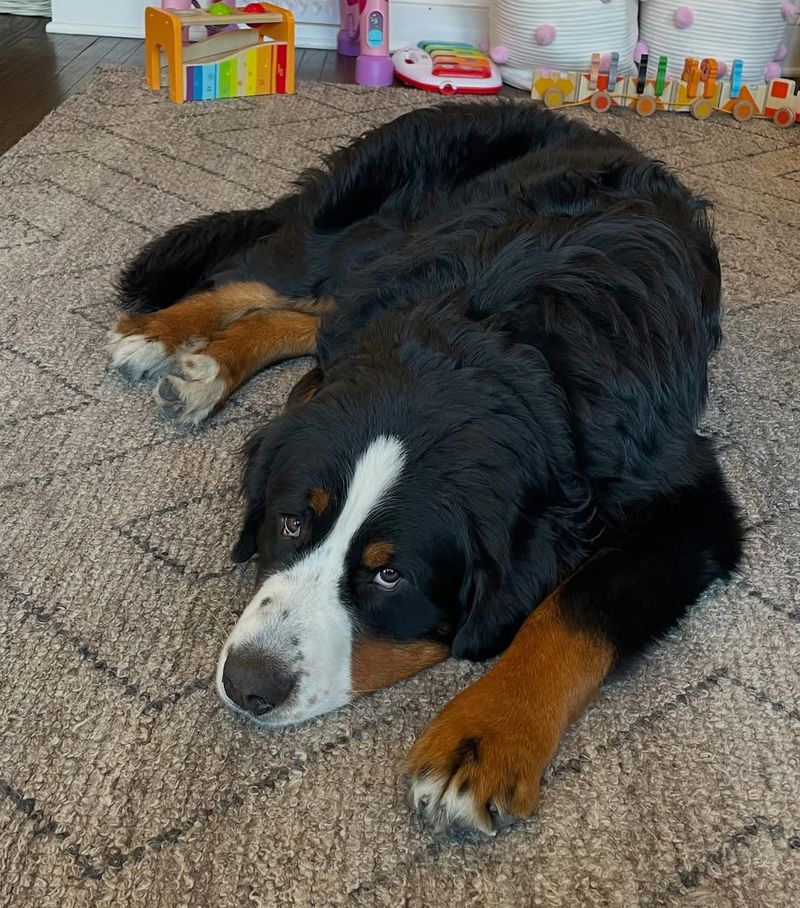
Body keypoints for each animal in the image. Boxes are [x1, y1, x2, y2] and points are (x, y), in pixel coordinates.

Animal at [108, 103, 744, 832]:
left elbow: (575, 611)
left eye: (391, 575)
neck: (502, 336)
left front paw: (485, 737)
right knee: (268, 279)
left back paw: (210, 364)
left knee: (303, 312)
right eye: (292, 523)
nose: (250, 684)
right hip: (362, 233)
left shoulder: (690, 504)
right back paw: (162, 337)